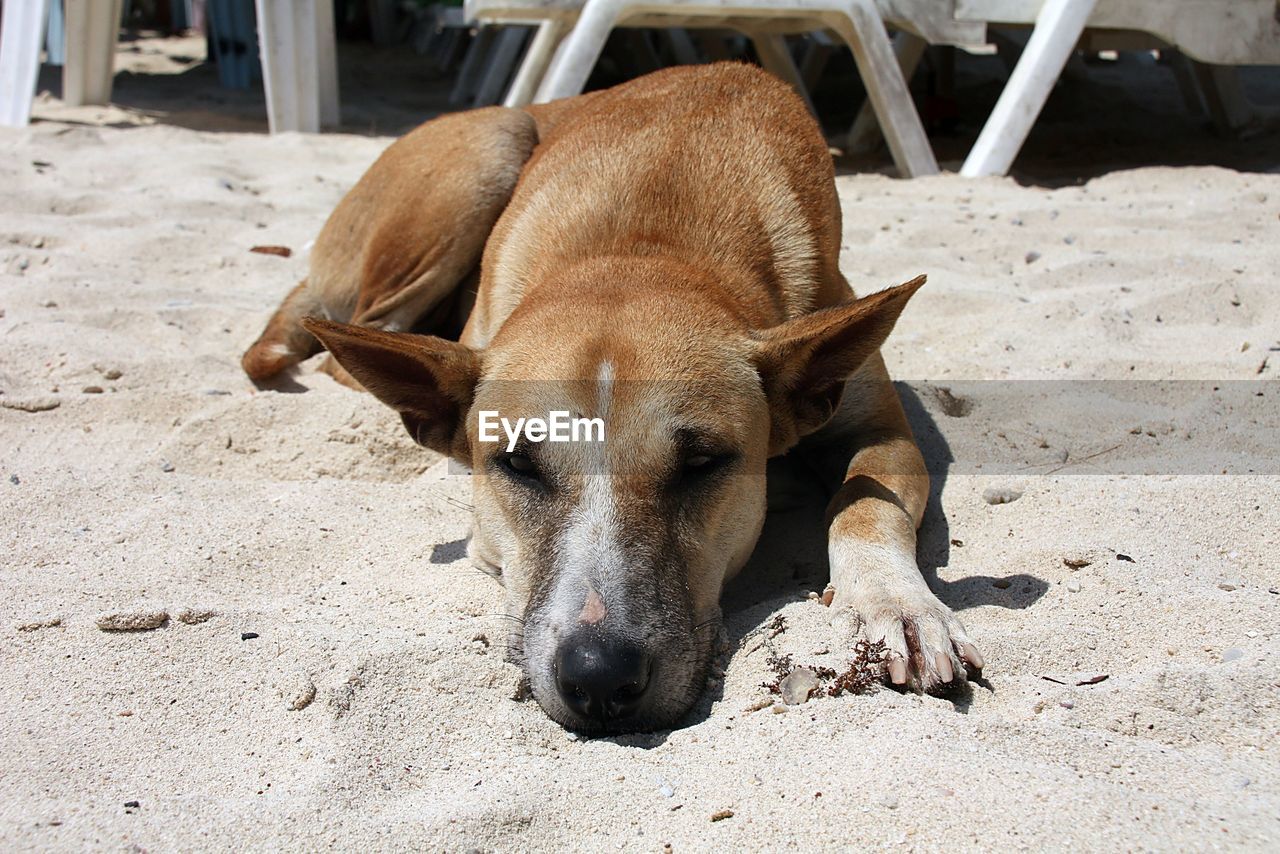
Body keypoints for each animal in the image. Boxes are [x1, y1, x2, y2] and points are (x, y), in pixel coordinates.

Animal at [241, 61, 977, 737]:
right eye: (518, 464)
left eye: (703, 464)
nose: (598, 679)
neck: (642, 250)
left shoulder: (879, 431)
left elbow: (865, 504)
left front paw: (895, 604)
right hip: (489, 151)